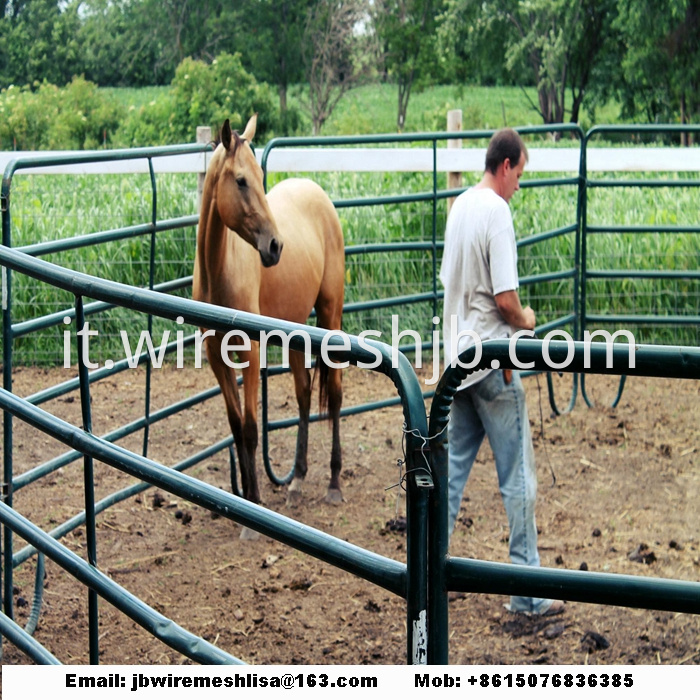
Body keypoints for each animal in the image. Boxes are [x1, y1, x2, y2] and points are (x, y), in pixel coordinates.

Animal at [191, 115, 344, 528]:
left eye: (261, 178)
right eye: (242, 180)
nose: (275, 246)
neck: (219, 270)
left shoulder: (251, 351)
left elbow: (250, 426)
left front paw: (255, 507)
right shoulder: (217, 356)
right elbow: (235, 425)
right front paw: (245, 499)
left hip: (330, 314)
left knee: (335, 392)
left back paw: (334, 483)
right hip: (296, 329)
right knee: (305, 392)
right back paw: (297, 479)